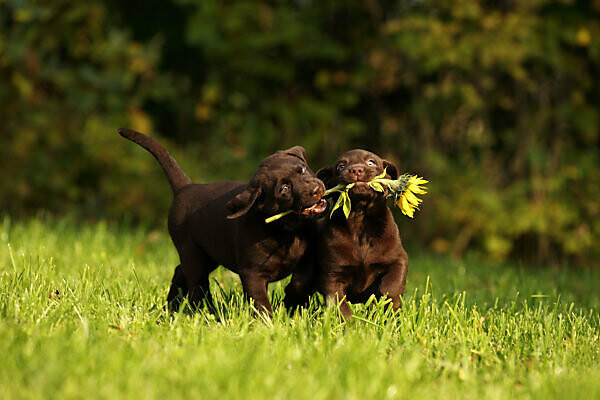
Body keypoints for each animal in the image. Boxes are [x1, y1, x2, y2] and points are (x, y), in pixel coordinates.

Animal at [284, 148, 408, 320]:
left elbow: (392, 287)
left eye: (371, 162)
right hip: (302, 278)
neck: (360, 221)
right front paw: (351, 325)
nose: (356, 170)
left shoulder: (399, 260)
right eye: (341, 166)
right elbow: (339, 305)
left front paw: (386, 309)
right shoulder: (333, 274)